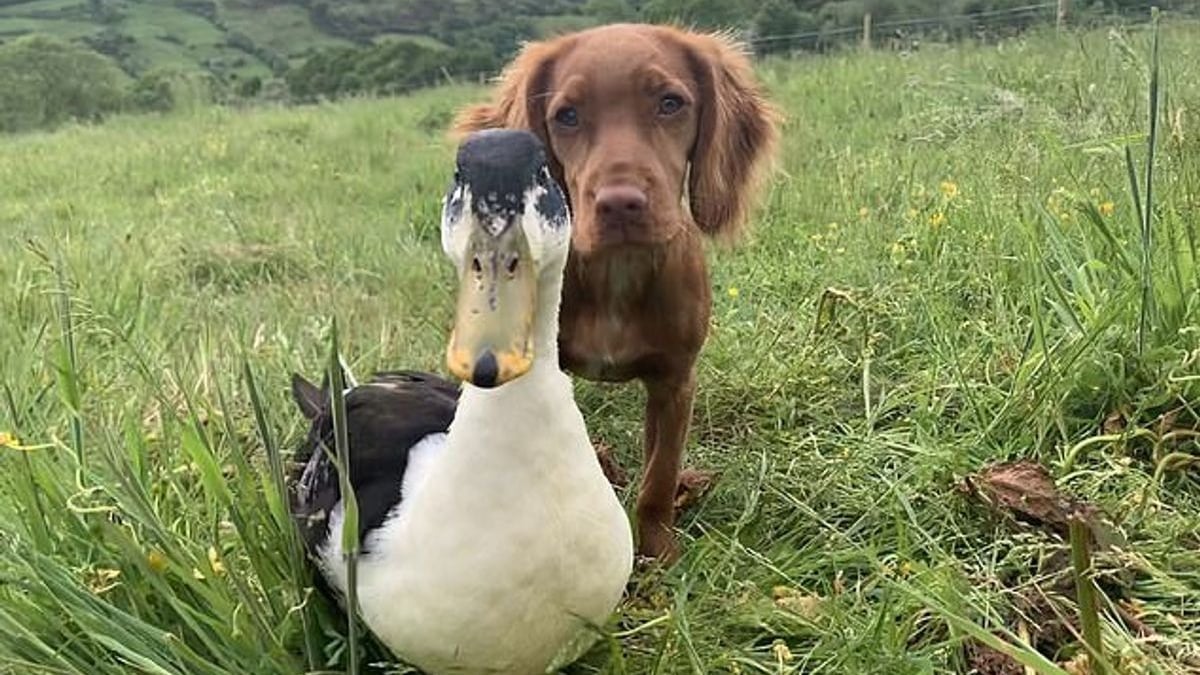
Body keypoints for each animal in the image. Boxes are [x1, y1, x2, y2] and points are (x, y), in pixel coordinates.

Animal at [451, 22, 777, 557]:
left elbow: (658, 477)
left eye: (670, 103)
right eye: (566, 115)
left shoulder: (675, 382)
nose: (620, 204)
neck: (616, 272)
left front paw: (659, 554)